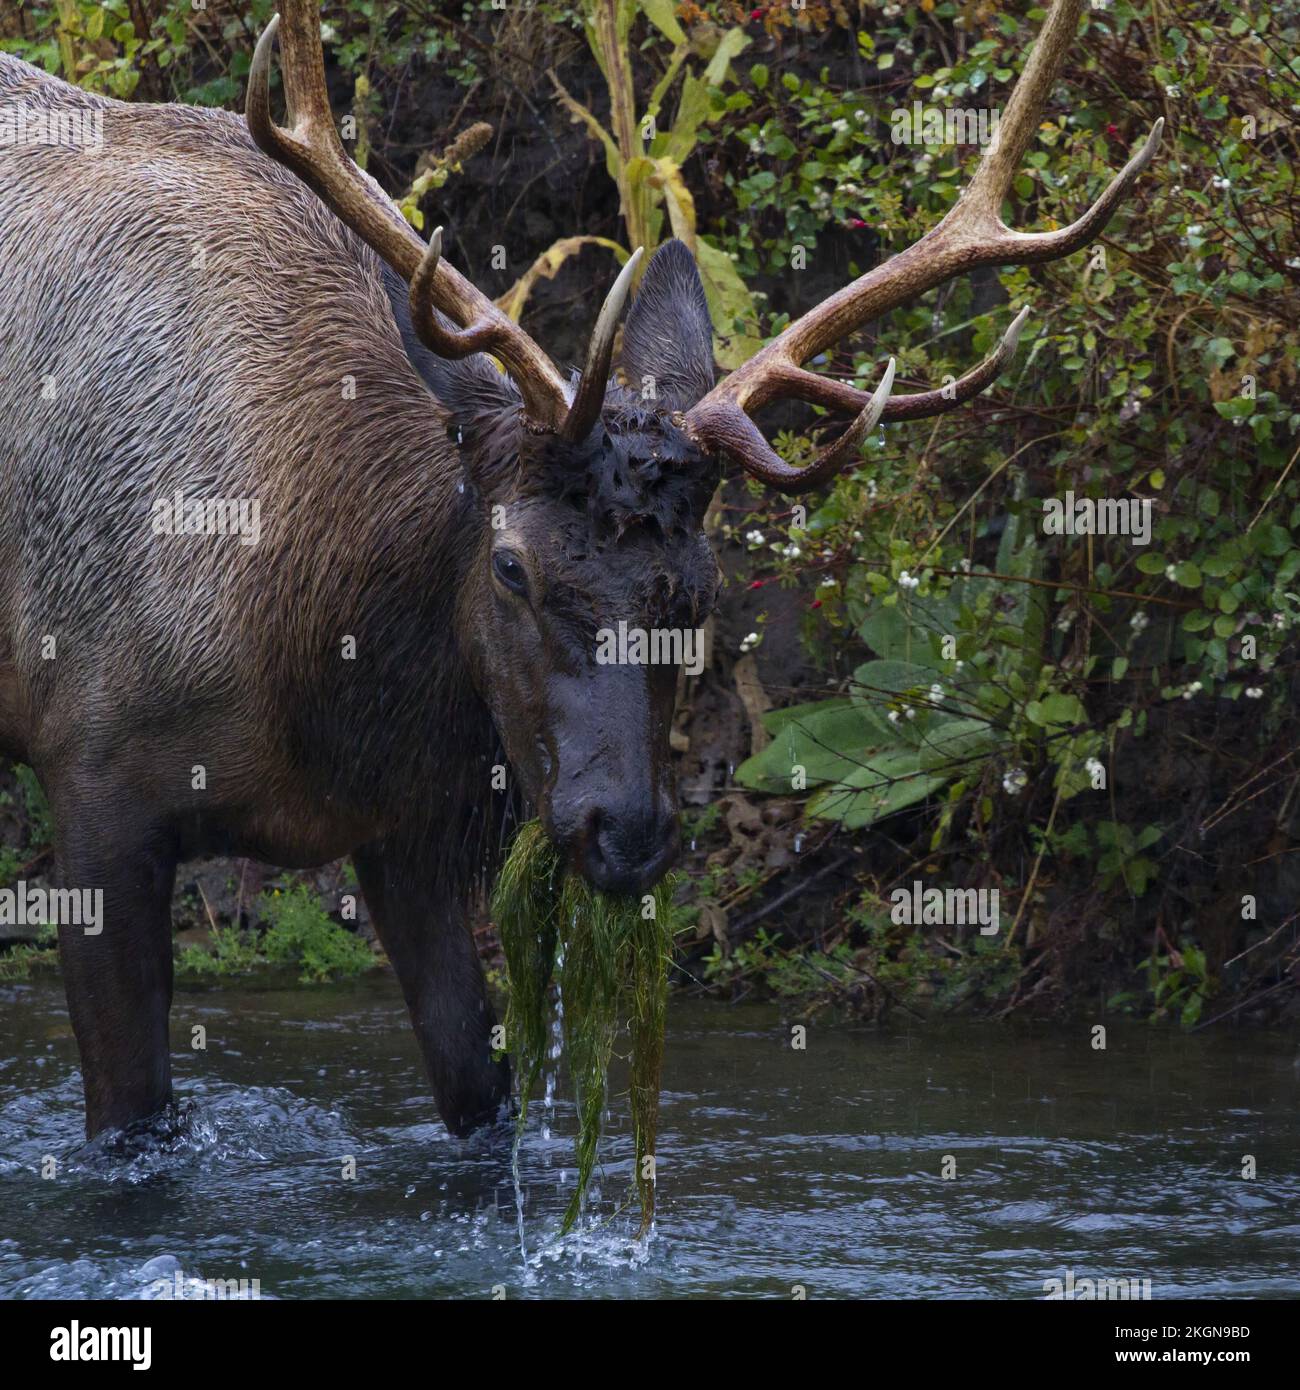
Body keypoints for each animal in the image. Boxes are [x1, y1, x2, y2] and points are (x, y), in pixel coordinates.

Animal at [0, 0, 1158, 1143]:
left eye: (700, 587)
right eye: (510, 565)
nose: (629, 832)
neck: (321, 668)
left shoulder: (410, 826)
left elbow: (479, 1090)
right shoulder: (94, 781)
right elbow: (133, 1118)